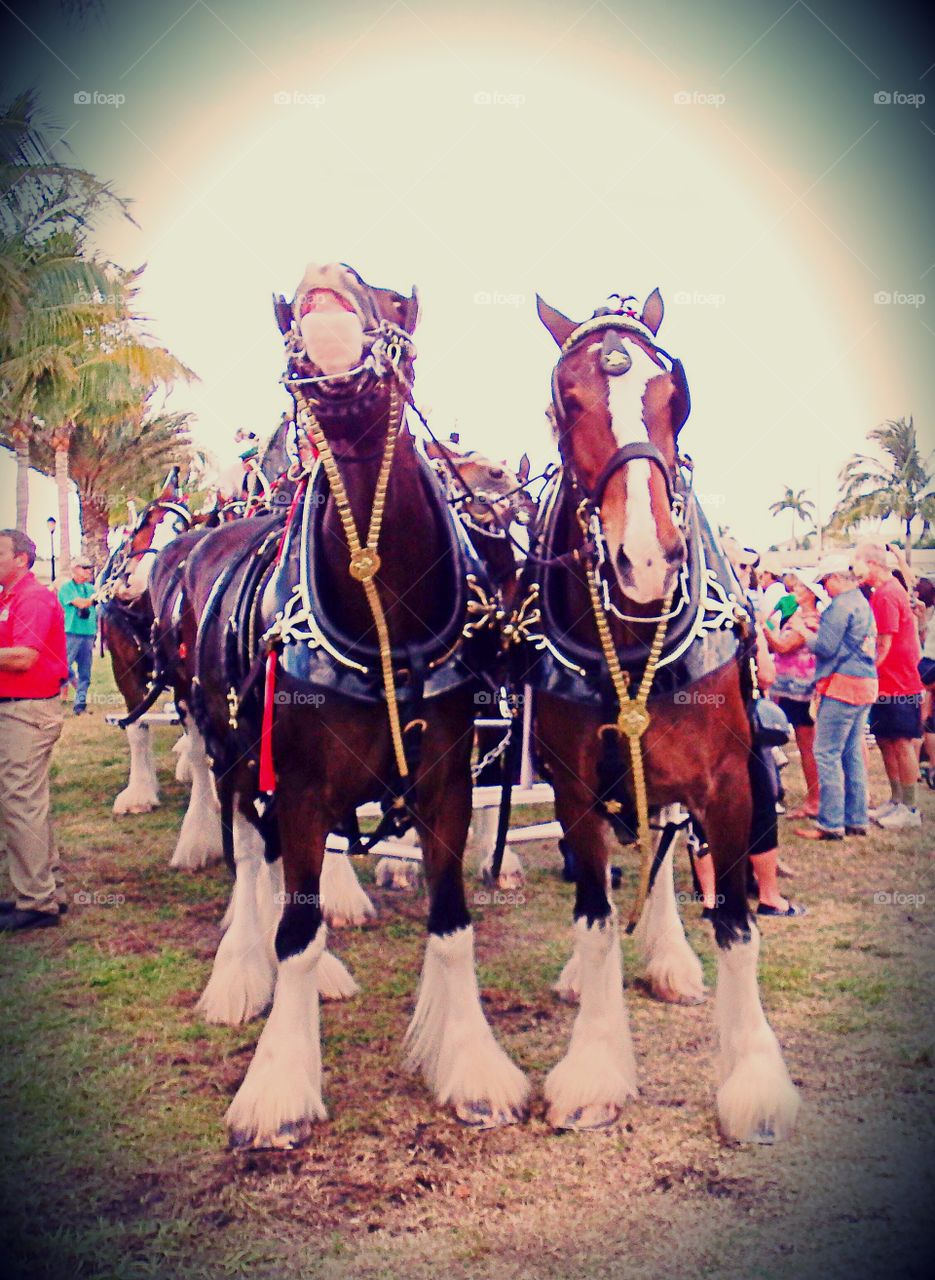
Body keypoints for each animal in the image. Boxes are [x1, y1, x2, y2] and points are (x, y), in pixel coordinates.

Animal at [185, 264, 527, 1146]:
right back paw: (243, 975)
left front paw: (470, 1070)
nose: (322, 284)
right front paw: (277, 1089)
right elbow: (297, 930)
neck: (381, 615)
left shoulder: (446, 782)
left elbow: (451, 920)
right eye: (286, 314)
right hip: (233, 754)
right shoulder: (301, 787)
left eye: (395, 301)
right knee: (254, 857)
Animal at [509, 288, 799, 1141]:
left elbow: (734, 920)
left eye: (675, 397)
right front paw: (595, 1066)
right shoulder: (573, 789)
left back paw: (669, 955)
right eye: (564, 403)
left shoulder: (730, 783)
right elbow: (595, 915)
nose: (644, 560)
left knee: (666, 839)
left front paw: (752, 1075)